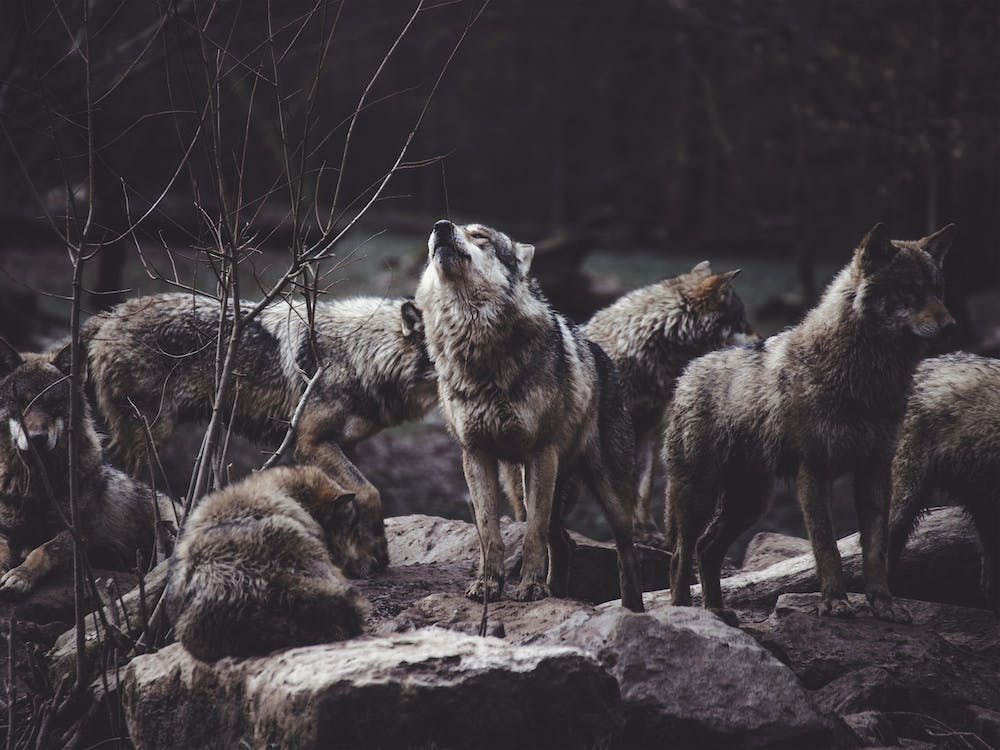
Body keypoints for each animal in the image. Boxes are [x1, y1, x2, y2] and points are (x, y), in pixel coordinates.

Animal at [0, 339, 180, 597]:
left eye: (55, 403)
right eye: (20, 403)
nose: (37, 439)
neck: (37, 483)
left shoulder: (78, 533)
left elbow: (42, 550)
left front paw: (21, 575)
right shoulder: (7, 530)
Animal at [84, 293, 438, 577]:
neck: (360, 355)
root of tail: (110, 314)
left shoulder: (340, 446)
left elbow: (349, 501)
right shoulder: (311, 443)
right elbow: (369, 492)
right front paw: (377, 553)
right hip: (149, 436)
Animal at [415, 219, 644, 611]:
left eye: (480, 236)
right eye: (444, 230)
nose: (441, 227)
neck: (477, 346)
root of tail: (601, 354)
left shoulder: (540, 453)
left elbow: (532, 536)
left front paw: (532, 589)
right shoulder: (475, 455)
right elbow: (489, 531)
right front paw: (488, 586)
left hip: (606, 491)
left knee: (624, 552)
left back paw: (632, 608)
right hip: (521, 487)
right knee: (564, 542)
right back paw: (559, 592)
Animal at [583, 261, 756, 546]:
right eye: (741, 321)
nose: (761, 341)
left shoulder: (650, 427)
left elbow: (643, 488)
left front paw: (648, 532)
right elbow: (628, 489)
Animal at [665, 223, 955, 622]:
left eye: (938, 290)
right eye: (908, 290)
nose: (951, 325)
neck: (865, 378)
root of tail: (689, 370)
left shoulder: (874, 471)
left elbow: (875, 550)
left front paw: (884, 603)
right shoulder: (813, 472)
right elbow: (826, 547)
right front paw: (835, 602)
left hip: (750, 503)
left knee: (707, 548)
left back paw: (716, 611)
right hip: (700, 494)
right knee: (682, 552)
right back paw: (685, 612)